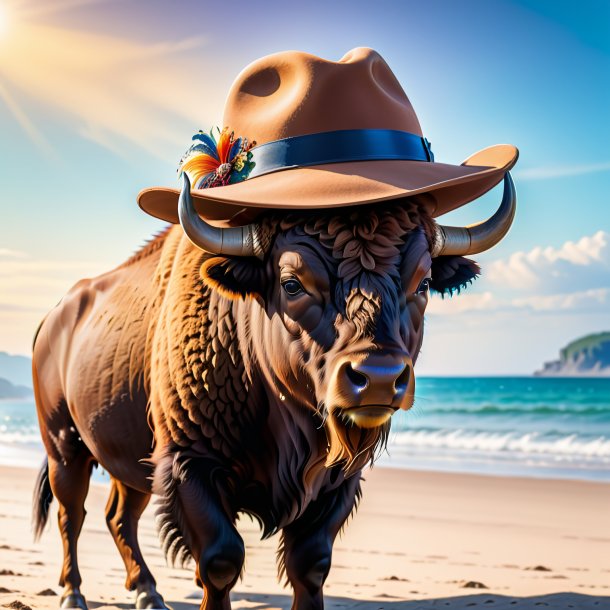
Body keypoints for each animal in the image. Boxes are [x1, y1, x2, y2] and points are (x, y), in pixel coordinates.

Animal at [28, 167, 512, 608]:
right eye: (291, 283)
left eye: (424, 282)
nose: (377, 376)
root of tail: (54, 318)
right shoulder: (189, 464)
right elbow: (221, 560)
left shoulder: (338, 481)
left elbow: (310, 563)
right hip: (64, 447)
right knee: (73, 514)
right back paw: (73, 594)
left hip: (129, 458)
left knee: (119, 515)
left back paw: (148, 592)